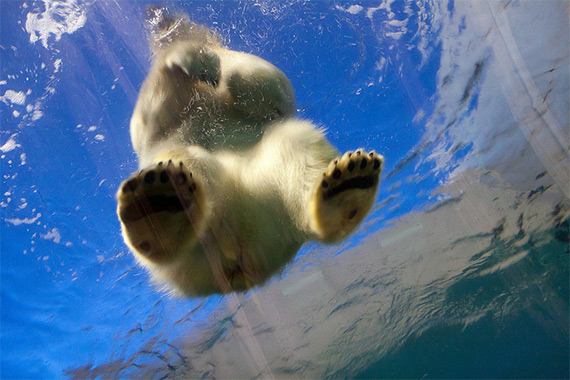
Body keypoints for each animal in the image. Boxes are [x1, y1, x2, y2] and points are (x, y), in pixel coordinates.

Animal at [115, 7, 382, 296]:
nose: (159, 16)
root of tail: (241, 268)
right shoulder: (165, 124)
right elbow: (145, 124)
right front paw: (192, 58)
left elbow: (271, 86)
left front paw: (208, 62)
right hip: (193, 254)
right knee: (182, 163)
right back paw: (156, 207)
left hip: (267, 194)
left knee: (295, 144)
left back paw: (346, 188)